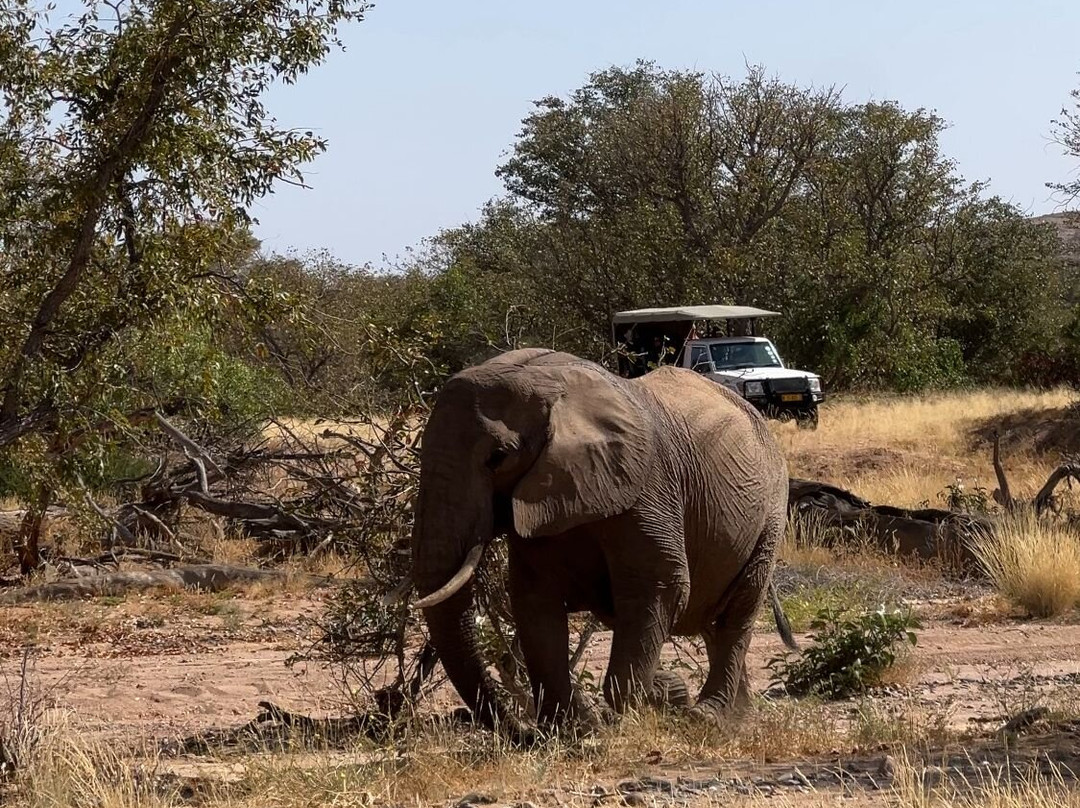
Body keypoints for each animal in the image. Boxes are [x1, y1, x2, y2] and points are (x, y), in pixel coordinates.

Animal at [409, 348, 795, 738]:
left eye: (497, 458)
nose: (522, 731)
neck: (553, 387)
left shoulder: (647, 490)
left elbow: (659, 586)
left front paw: (622, 718)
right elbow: (534, 601)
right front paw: (571, 727)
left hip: (771, 510)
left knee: (737, 611)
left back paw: (708, 716)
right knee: (711, 619)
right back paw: (731, 716)